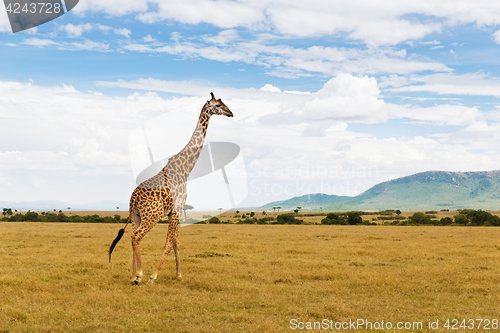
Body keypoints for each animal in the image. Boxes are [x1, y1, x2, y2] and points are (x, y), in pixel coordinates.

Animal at [108, 92, 233, 282]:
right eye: (218, 105)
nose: (230, 113)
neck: (186, 169)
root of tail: (133, 198)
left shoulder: (174, 212)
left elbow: (176, 242)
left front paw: (179, 275)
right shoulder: (177, 208)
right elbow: (168, 243)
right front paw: (154, 276)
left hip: (136, 216)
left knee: (132, 236)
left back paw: (133, 276)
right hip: (151, 216)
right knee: (136, 236)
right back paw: (140, 274)